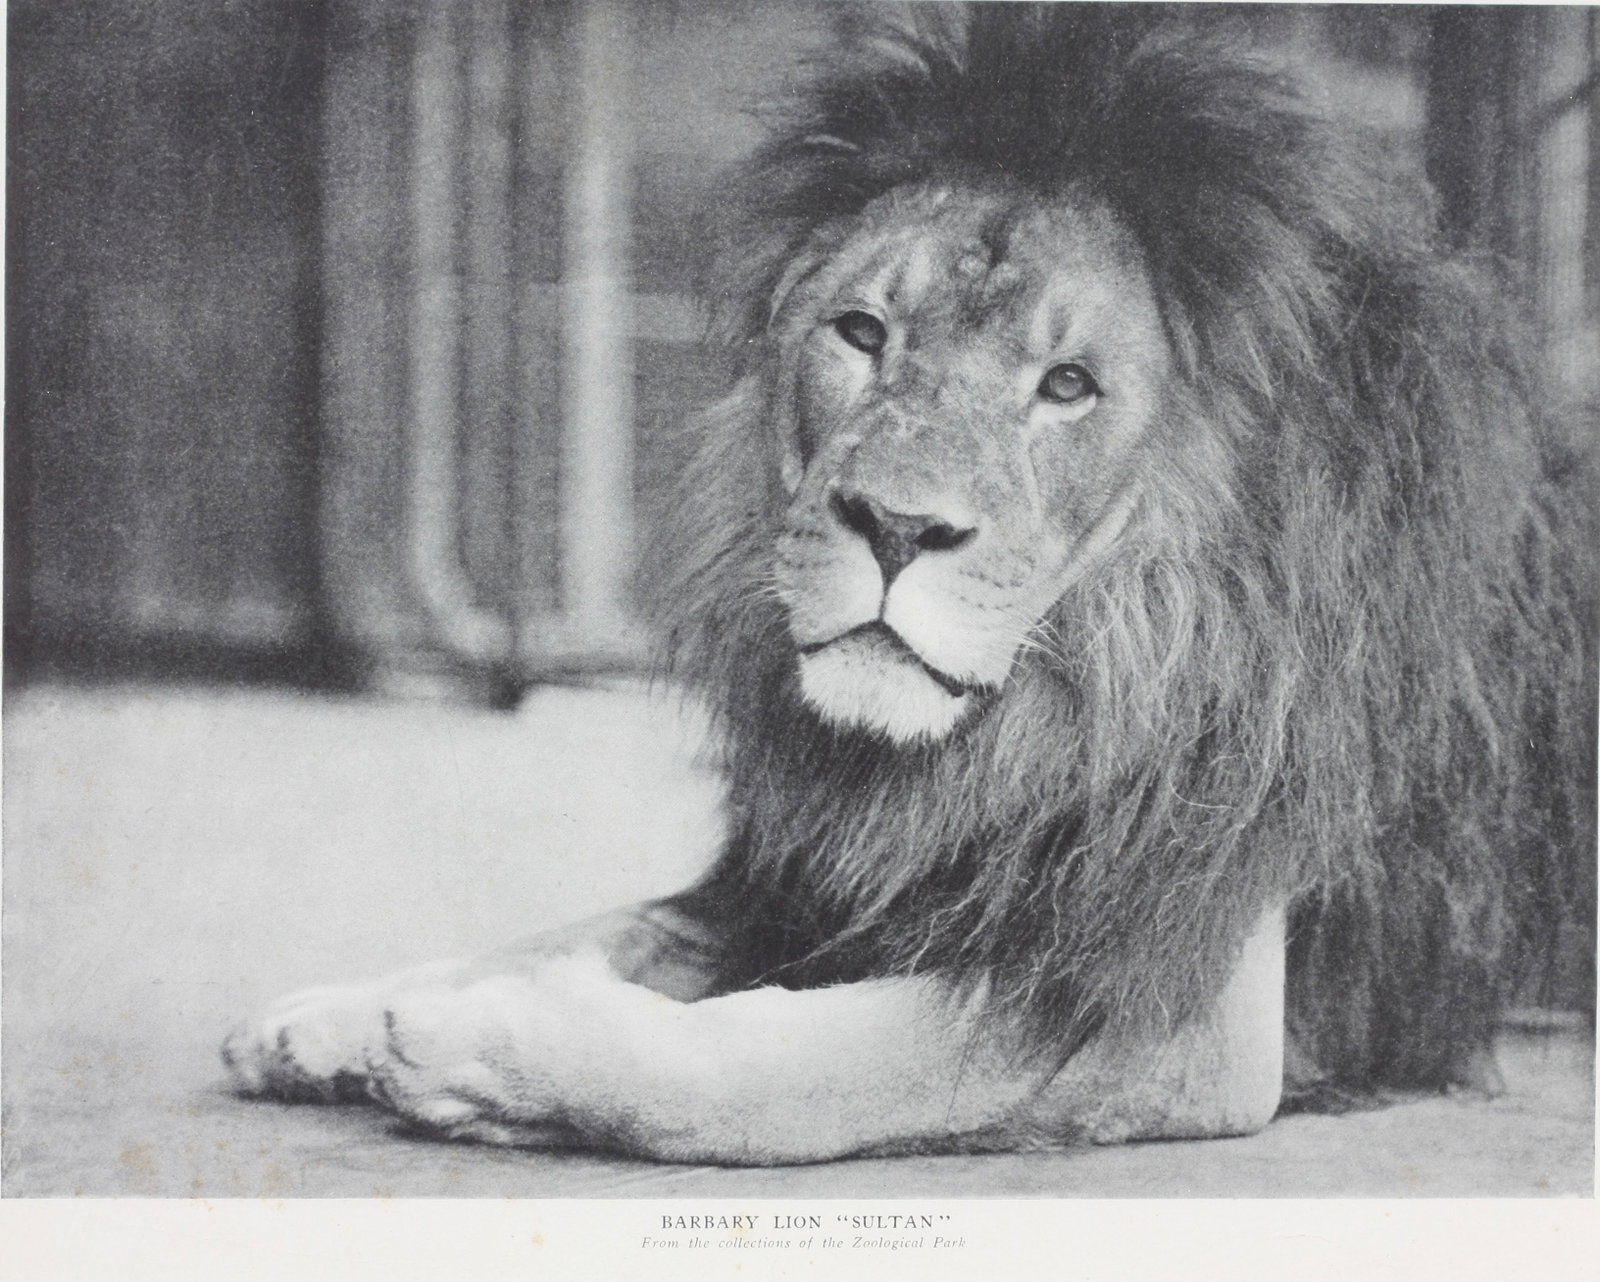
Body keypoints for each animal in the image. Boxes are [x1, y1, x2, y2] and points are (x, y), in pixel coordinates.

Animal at [223, 6, 1594, 1163]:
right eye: (861, 333)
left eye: (1067, 385)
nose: (893, 526)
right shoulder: (804, 872)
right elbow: (600, 925)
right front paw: (337, 1012)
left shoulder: (1168, 1008)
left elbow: (772, 1069)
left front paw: (480, 1046)